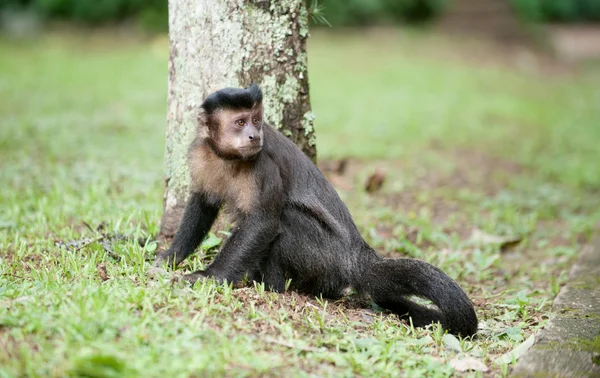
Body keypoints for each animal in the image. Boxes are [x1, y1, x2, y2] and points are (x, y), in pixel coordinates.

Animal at [156, 83, 478, 336]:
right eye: (239, 123)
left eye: (256, 120)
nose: (253, 136)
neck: (228, 158)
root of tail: (356, 256)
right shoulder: (200, 152)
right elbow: (202, 203)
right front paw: (170, 256)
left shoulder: (263, 165)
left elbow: (263, 222)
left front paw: (210, 277)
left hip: (324, 257)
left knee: (285, 218)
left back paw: (271, 287)